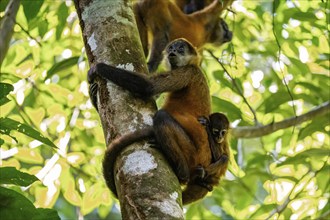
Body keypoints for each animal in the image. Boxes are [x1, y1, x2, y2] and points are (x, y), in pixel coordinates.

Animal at [89, 38, 215, 205]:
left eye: (181, 49)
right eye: (171, 48)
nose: (172, 52)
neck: (194, 66)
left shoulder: (188, 71)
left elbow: (148, 87)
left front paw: (98, 68)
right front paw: (92, 94)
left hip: (192, 152)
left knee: (161, 117)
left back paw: (182, 173)